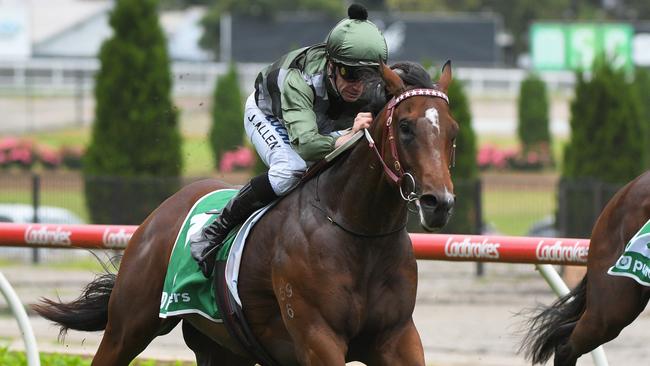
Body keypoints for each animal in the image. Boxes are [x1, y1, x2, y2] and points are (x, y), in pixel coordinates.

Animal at [31, 61, 456, 364]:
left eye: (452, 131)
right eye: (405, 126)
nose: (439, 203)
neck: (358, 232)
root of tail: (160, 214)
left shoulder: (397, 337)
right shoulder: (318, 338)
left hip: (222, 347)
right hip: (130, 325)